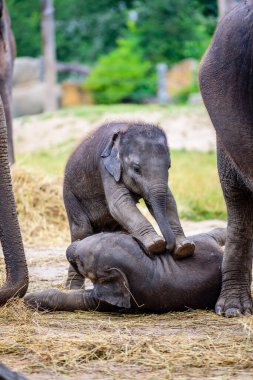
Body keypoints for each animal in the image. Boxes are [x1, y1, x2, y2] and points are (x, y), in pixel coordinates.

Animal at [64, 121, 195, 288]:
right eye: (136, 169)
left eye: (169, 167)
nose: (168, 246)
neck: (127, 126)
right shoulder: (104, 167)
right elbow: (119, 202)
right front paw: (156, 244)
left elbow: (169, 200)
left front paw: (185, 247)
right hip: (71, 196)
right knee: (81, 230)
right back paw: (72, 288)